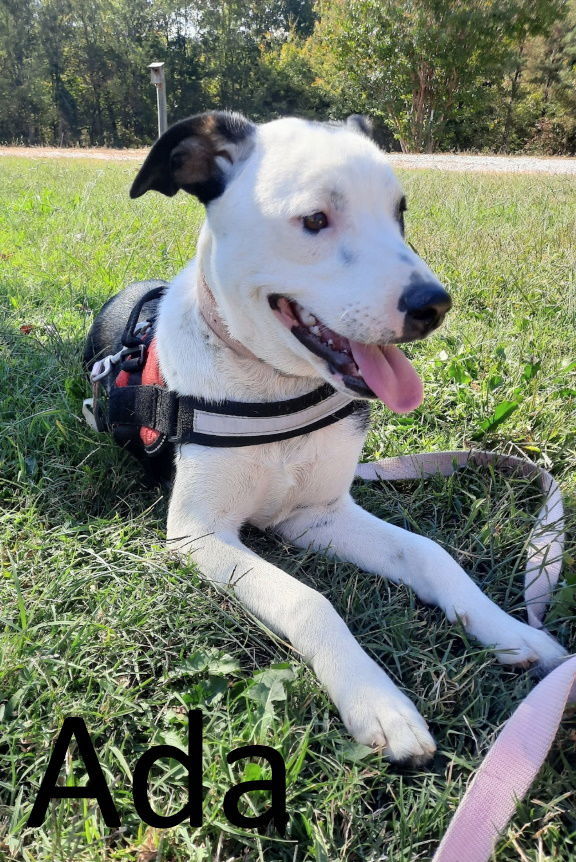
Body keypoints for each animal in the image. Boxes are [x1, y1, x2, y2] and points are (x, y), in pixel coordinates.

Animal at [85, 113, 568, 764]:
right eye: (315, 219)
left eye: (400, 213)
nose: (435, 305)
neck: (272, 386)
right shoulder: (199, 534)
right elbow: (309, 600)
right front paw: (378, 701)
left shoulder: (314, 514)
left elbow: (429, 553)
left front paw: (514, 632)